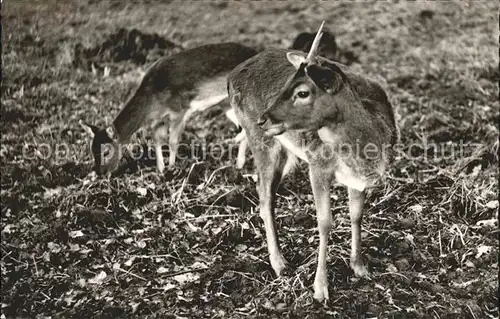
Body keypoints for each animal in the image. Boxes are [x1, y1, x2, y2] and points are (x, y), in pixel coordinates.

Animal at [80, 42, 258, 175]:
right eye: (91, 150)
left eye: (106, 151)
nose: (100, 172)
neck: (154, 99)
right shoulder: (160, 119)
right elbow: (157, 139)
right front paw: (161, 169)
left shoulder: (179, 109)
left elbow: (172, 141)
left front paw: (172, 168)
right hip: (226, 104)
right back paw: (239, 164)